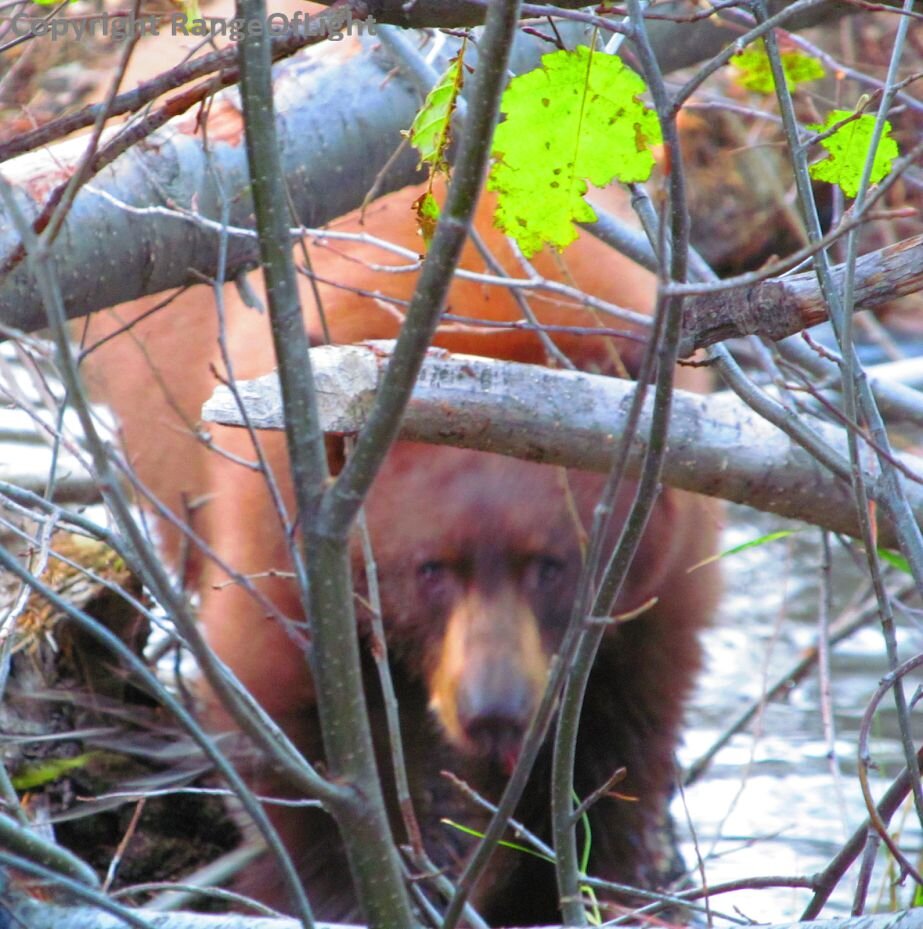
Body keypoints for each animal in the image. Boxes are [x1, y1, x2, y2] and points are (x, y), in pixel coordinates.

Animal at [79, 178, 720, 924]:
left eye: (550, 566)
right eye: (431, 569)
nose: (494, 711)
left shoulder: (657, 585)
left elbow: (616, 750)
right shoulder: (282, 536)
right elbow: (296, 731)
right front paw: (350, 889)